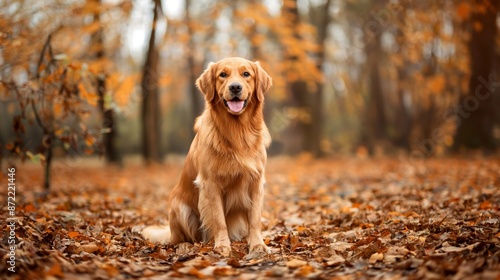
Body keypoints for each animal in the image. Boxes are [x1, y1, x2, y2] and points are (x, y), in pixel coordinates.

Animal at [143, 57, 272, 256]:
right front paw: (222, 246)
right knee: (182, 238)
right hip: (180, 208)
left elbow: (255, 219)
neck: (237, 132)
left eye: (246, 74)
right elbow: (219, 220)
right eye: (223, 75)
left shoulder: (256, 182)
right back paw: (188, 245)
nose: (235, 87)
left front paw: (257, 244)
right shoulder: (210, 184)